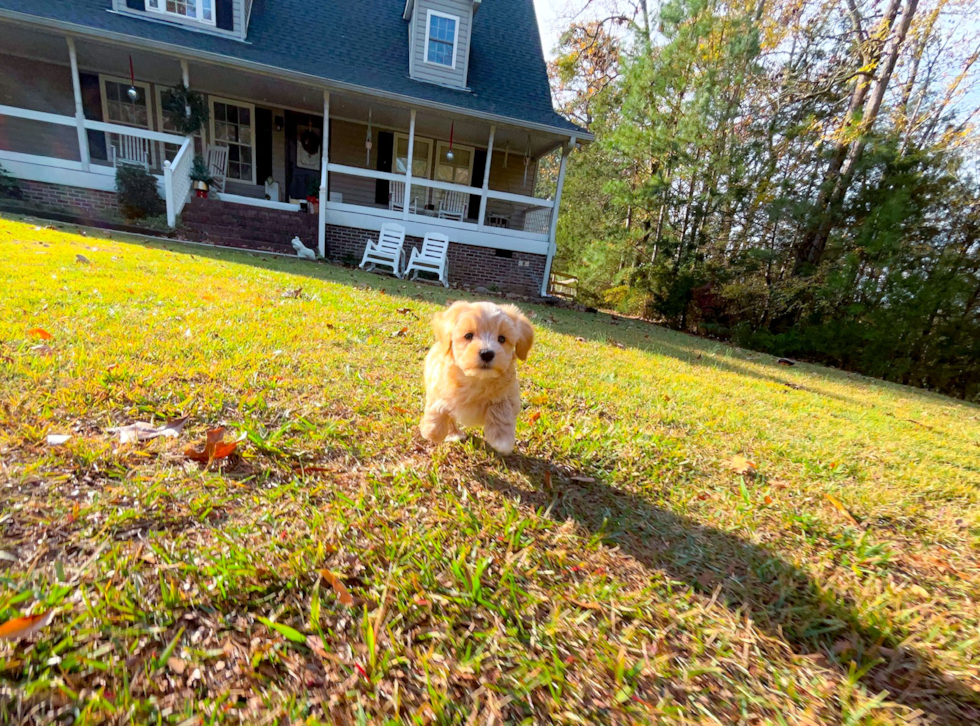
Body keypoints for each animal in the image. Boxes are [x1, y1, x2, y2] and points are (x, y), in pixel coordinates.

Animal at [420, 302, 532, 456]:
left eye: (502, 339)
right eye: (468, 335)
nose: (487, 353)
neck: (476, 379)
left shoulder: (510, 396)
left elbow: (500, 409)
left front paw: (501, 440)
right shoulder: (436, 384)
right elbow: (438, 406)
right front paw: (433, 432)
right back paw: (454, 434)